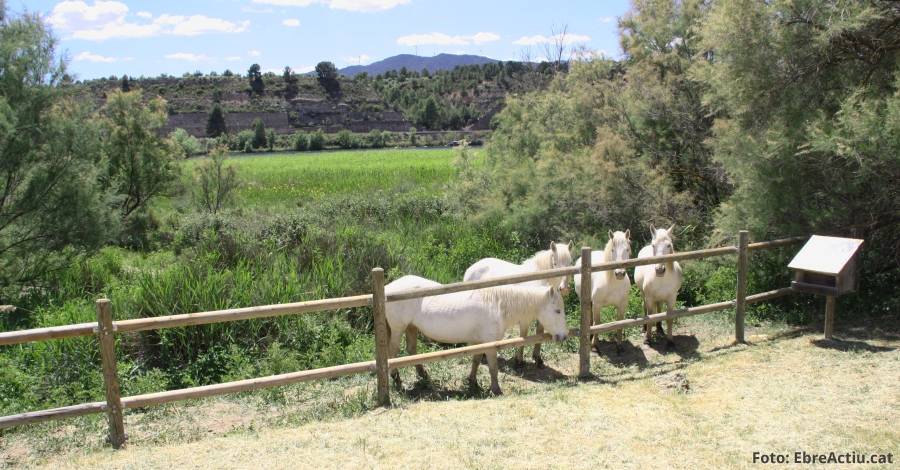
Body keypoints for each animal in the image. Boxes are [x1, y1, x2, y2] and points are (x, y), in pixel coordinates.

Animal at [384, 274, 568, 394]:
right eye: (558, 311)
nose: (564, 336)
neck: (497, 304)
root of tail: (387, 289)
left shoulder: (479, 342)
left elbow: (476, 361)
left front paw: (472, 382)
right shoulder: (491, 345)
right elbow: (493, 368)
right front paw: (496, 390)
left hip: (411, 327)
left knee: (412, 351)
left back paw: (423, 375)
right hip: (398, 329)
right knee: (393, 353)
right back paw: (396, 379)